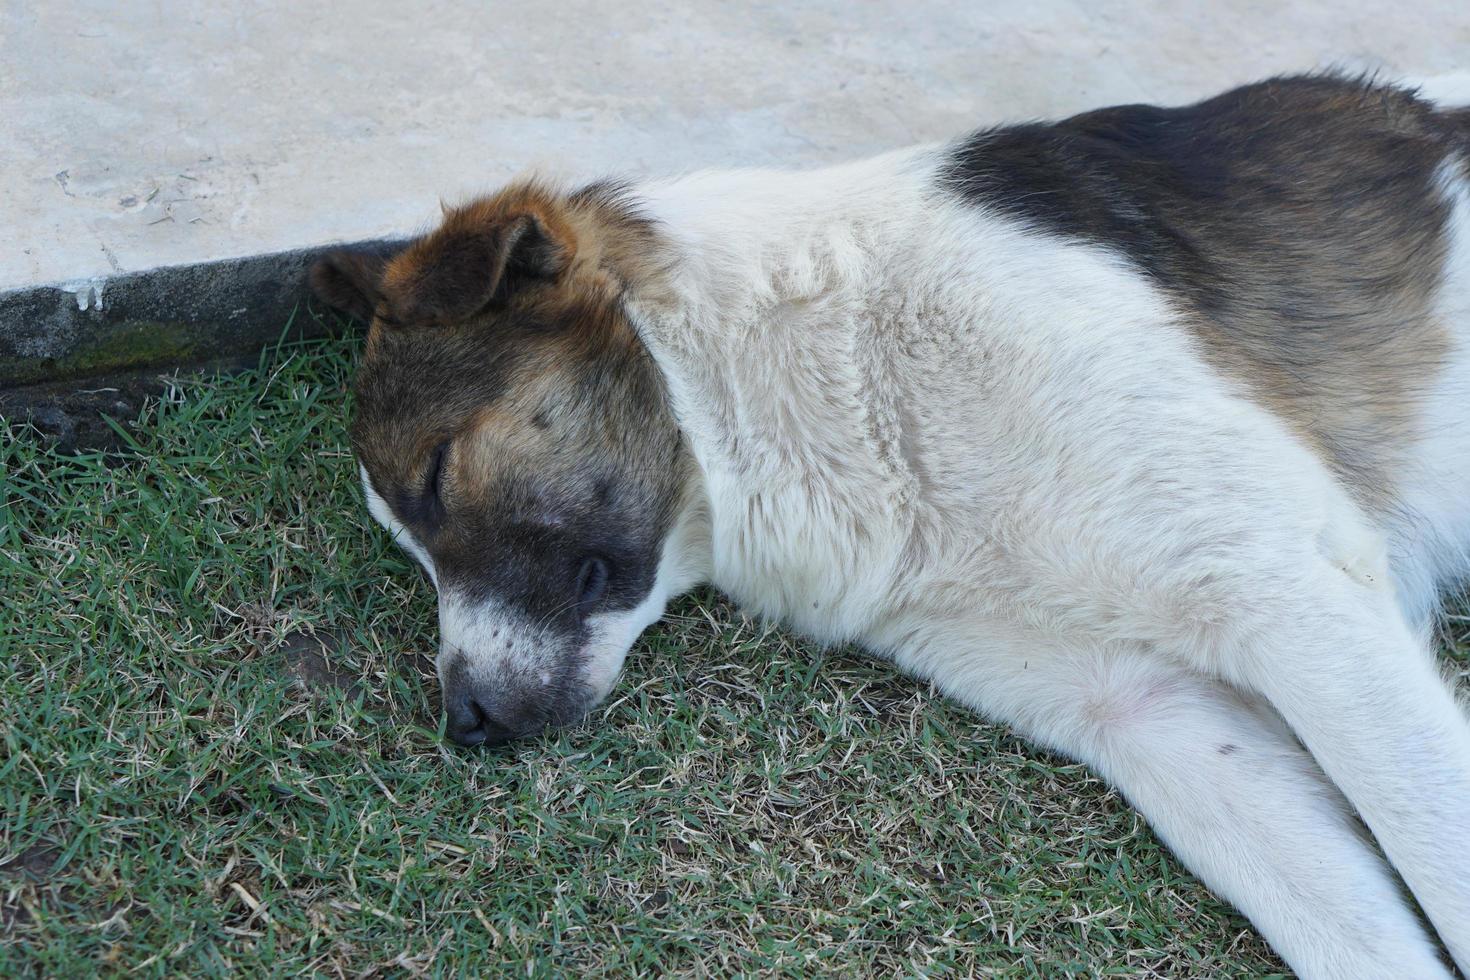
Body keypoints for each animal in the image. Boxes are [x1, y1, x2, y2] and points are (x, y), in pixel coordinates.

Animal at [310, 74, 1470, 975]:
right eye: (408, 538)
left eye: (434, 478)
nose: (465, 720)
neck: (822, 368)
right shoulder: (1151, 708)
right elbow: (1358, 934)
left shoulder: (1283, 594)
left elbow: (1432, 839)